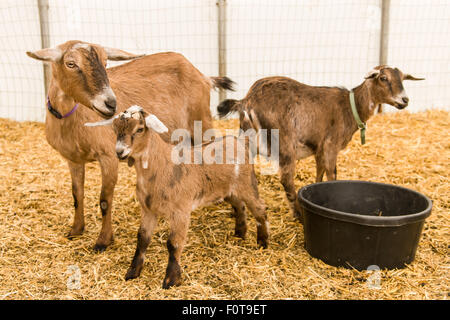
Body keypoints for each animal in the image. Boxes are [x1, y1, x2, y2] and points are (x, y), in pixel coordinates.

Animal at [26, 40, 234, 250]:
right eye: (70, 64)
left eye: (106, 62)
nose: (111, 104)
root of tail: (203, 76)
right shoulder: (73, 160)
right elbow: (77, 194)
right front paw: (76, 230)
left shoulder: (108, 156)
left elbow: (104, 200)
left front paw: (103, 240)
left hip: (201, 120)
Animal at [86, 105, 268, 288]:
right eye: (115, 129)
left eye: (139, 129)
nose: (119, 151)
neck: (162, 166)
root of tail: (240, 141)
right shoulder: (148, 210)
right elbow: (142, 238)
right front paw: (132, 272)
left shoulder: (181, 211)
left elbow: (173, 243)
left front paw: (171, 280)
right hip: (227, 189)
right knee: (240, 205)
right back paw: (240, 234)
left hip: (247, 183)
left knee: (260, 208)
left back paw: (262, 242)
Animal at [216, 65, 424, 220]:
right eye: (383, 78)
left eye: (402, 78)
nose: (404, 100)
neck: (350, 107)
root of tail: (246, 101)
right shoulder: (331, 145)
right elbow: (332, 175)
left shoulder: (319, 149)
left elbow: (319, 174)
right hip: (285, 144)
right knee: (286, 179)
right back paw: (298, 215)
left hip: (247, 141)